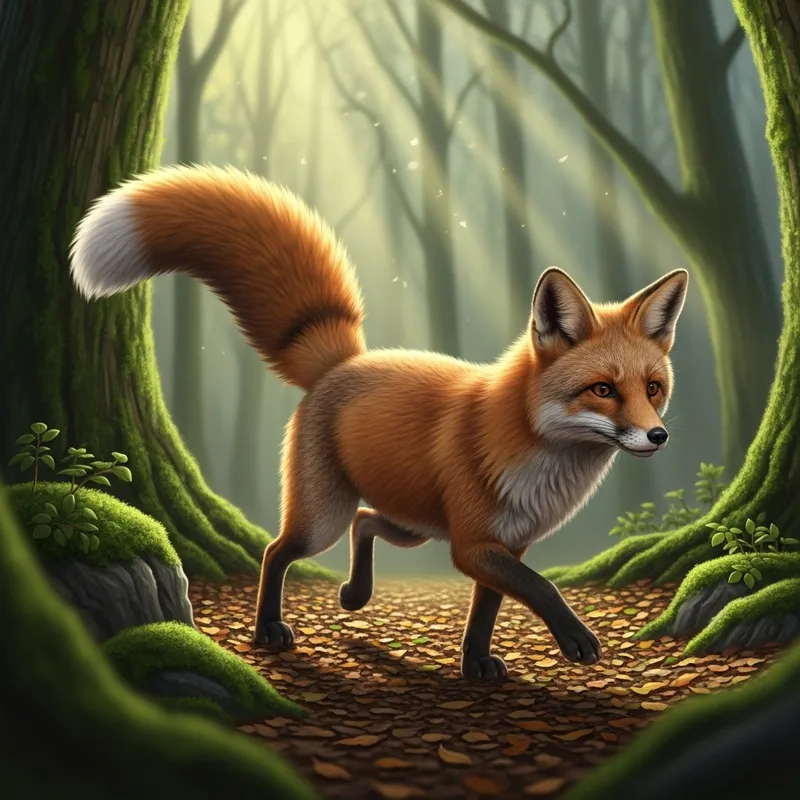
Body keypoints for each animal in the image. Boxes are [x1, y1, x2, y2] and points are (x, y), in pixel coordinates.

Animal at [70, 165, 688, 680]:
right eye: (603, 390)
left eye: (653, 390)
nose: (659, 435)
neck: (536, 455)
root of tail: (343, 361)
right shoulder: (475, 545)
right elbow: (541, 589)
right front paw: (574, 639)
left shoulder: (503, 546)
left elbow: (487, 609)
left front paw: (475, 664)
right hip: (325, 517)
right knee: (277, 550)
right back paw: (269, 629)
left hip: (412, 526)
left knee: (365, 521)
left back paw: (354, 594)